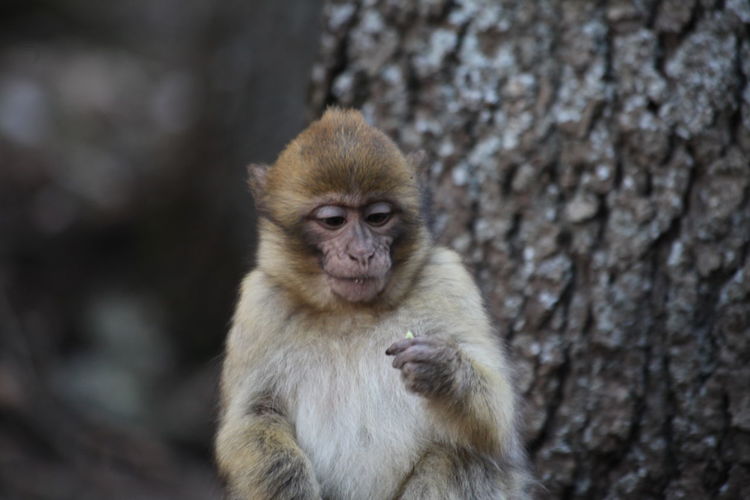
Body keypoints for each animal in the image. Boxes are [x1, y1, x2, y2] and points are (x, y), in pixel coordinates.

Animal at [215, 108, 531, 499]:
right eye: (334, 221)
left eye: (377, 217)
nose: (362, 252)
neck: (351, 313)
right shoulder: (260, 304)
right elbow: (252, 419)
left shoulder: (449, 279)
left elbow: (500, 421)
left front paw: (443, 371)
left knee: (463, 456)